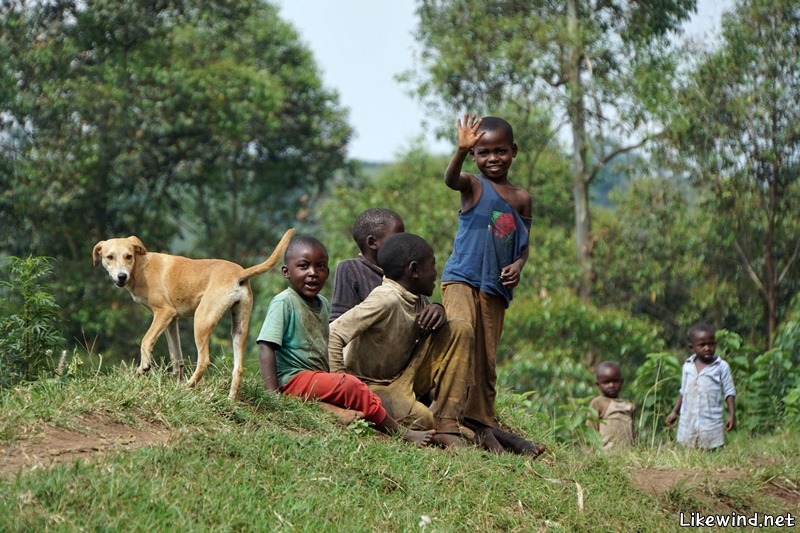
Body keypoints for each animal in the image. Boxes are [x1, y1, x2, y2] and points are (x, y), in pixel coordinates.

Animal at [94, 229, 294, 400]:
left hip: (201, 320)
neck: (140, 266)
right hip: (239, 327)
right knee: (238, 369)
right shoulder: (171, 321)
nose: (121, 276)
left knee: (204, 360)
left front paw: (143, 368)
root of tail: (240, 273)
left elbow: (146, 340)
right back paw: (229, 400)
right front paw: (175, 380)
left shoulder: (163, 312)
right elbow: (176, 356)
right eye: (109, 257)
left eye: (128, 256)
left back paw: (188, 387)